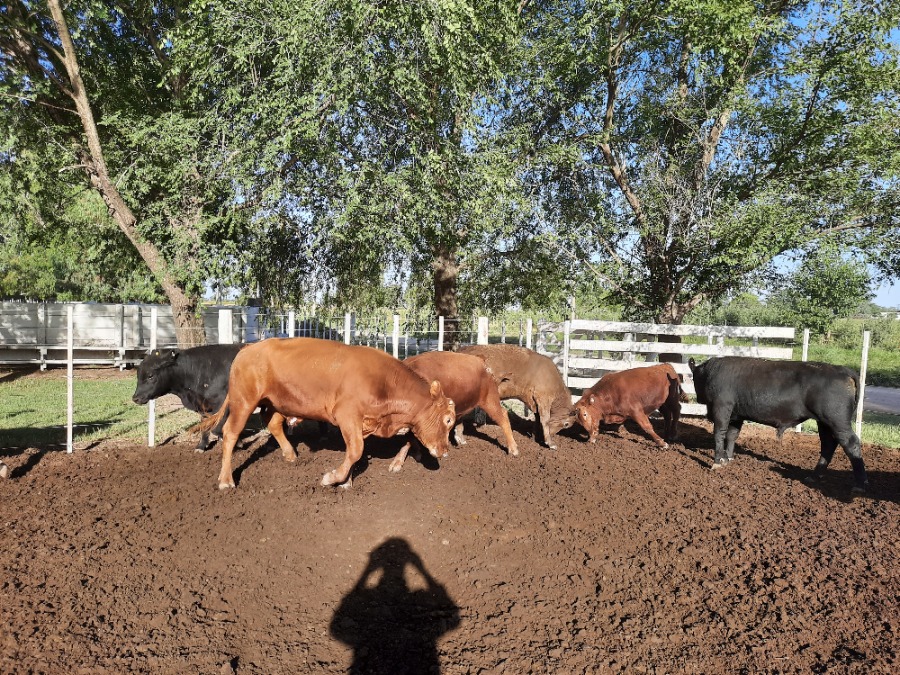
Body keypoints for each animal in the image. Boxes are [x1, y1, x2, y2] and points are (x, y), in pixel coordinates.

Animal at [199, 338, 456, 490]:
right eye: (447, 420)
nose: (445, 451)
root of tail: (248, 348)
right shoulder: (347, 415)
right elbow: (356, 450)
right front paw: (333, 478)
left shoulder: (362, 423)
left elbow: (355, 452)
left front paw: (346, 480)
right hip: (243, 400)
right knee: (230, 433)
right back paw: (226, 480)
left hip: (275, 402)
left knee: (272, 424)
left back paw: (290, 454)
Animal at [388, 351, 518, 472]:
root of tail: (480, 359)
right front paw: (415, 454)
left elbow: (408, 441)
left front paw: (397, 463)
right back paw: (460, 439)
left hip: (489, 400)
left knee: (503, 417)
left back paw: (513, 449)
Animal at [688, 356, 869, 492]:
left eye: (694, 378)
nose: (698, 398)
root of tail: (842, 369)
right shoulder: (736, 414)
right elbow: (732, 435)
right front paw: (728, 458)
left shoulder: (722, 407)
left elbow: (719, 433)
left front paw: (717, 462)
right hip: (823, 422)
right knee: (828, 445)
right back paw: (814, 476)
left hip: (836, 421)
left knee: (851, 443)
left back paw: (859, 484)